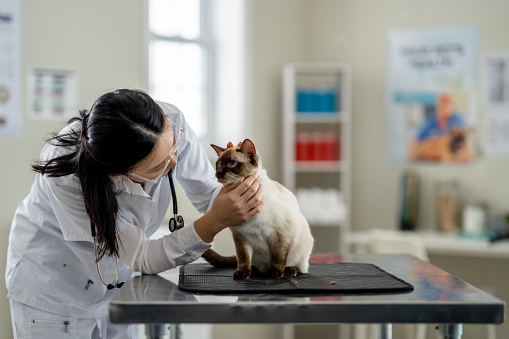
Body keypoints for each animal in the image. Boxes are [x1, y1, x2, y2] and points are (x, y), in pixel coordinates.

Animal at [202, 139, 314, 280]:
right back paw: (254, 271)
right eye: (220, 163)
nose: (219, 173)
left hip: (301, 249)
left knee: (301, 267)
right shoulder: (241, 235)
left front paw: (276, 273)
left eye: (232, 163)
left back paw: (289, 270)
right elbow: (243, 258)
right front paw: (242, 273)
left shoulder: (280, 233)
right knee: (253, 264)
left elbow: (278, 257)